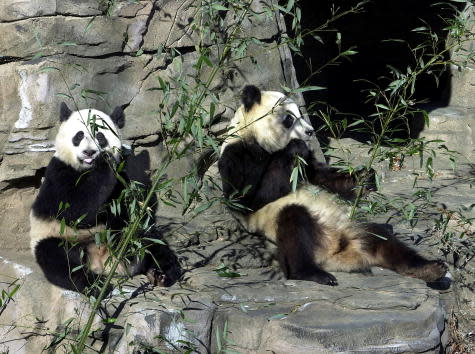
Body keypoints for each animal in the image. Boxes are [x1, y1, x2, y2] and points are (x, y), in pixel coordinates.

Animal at [29, 103, 181, 296]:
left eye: (100, 136)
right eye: (79, 136)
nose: (89, 152)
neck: (88, 169)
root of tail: (104, 264)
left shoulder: (122, 180)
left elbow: (129, 210)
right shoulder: (59, 174)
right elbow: (75, 211)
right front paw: (104, 161)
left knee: (152, 243)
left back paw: (161, 273)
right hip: (58, 237)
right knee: (59, 261)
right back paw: (96, 285)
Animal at [219, 86, 450, 288]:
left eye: (300, 113)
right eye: (289, 118)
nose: (310, 131)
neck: (257, 137)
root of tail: (338, 253)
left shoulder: (309, 164)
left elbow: (323, 177)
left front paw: (365, 177)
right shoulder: (238, 156)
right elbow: (250, 198)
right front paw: (295, 147)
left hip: (353, 229)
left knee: (383, 239)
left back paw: (431, 269)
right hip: (289, 230)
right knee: (294, 221)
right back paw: (312, 273)